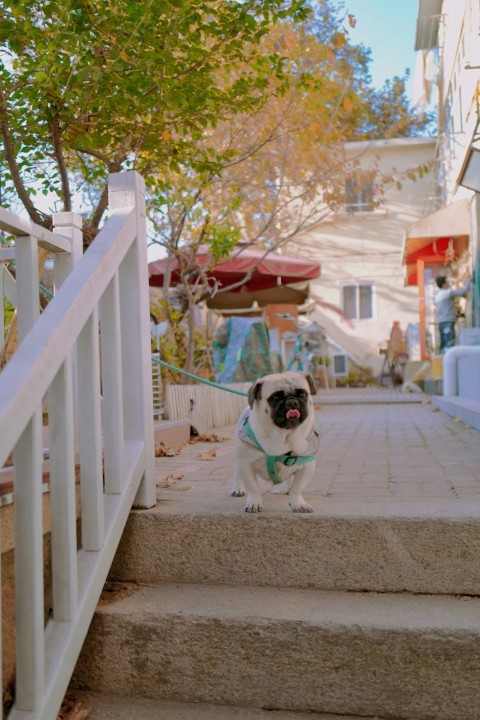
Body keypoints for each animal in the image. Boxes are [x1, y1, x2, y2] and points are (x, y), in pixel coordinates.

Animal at [232, 372, 318, 512]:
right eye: (275, 397)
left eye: (303, 394)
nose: (292, 401)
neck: (283, 436)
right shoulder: (246, 464)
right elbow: (253, 487)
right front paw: (254, 503)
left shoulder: (306, 466)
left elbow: (297, 488)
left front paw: (298, 503)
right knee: (237, 474)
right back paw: (237, 488)